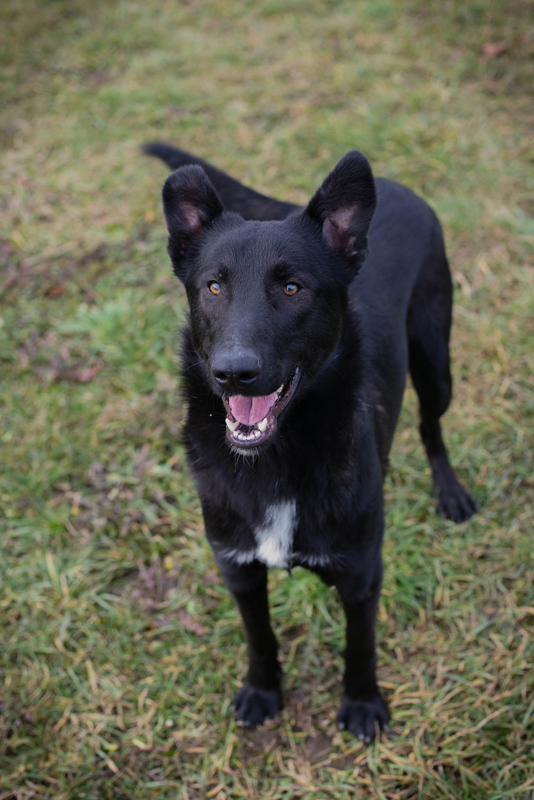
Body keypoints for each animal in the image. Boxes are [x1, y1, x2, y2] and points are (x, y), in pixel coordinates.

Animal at [144, 142, 477, 741]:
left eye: (292, 287)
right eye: (213, 286)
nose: (234, 374)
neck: (275, 458)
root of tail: (393, 186)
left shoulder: (362, 573)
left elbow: (359, 645)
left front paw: (363, 703)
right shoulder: (238, 569)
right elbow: (259, 636)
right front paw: (262, 690)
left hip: (436, 361)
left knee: (431, 425)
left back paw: (450, 491)